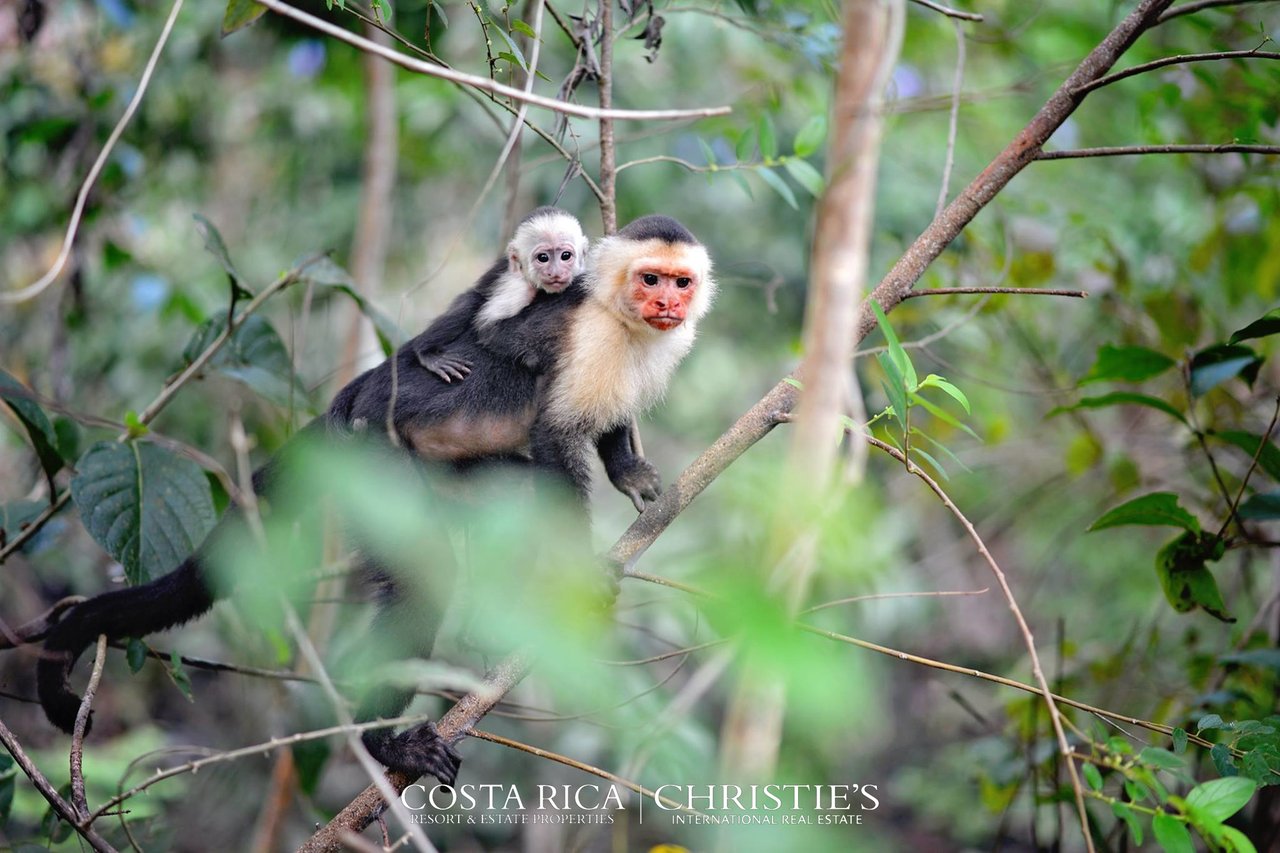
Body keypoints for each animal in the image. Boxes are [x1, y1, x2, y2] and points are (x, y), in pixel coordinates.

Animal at [412, 204, 586, 379]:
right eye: (543, 258)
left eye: (565, 256)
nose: (555, 273)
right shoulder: (518, 288)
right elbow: (488, 328)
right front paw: (534, 358)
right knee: (470, 303)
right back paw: (426, 352)